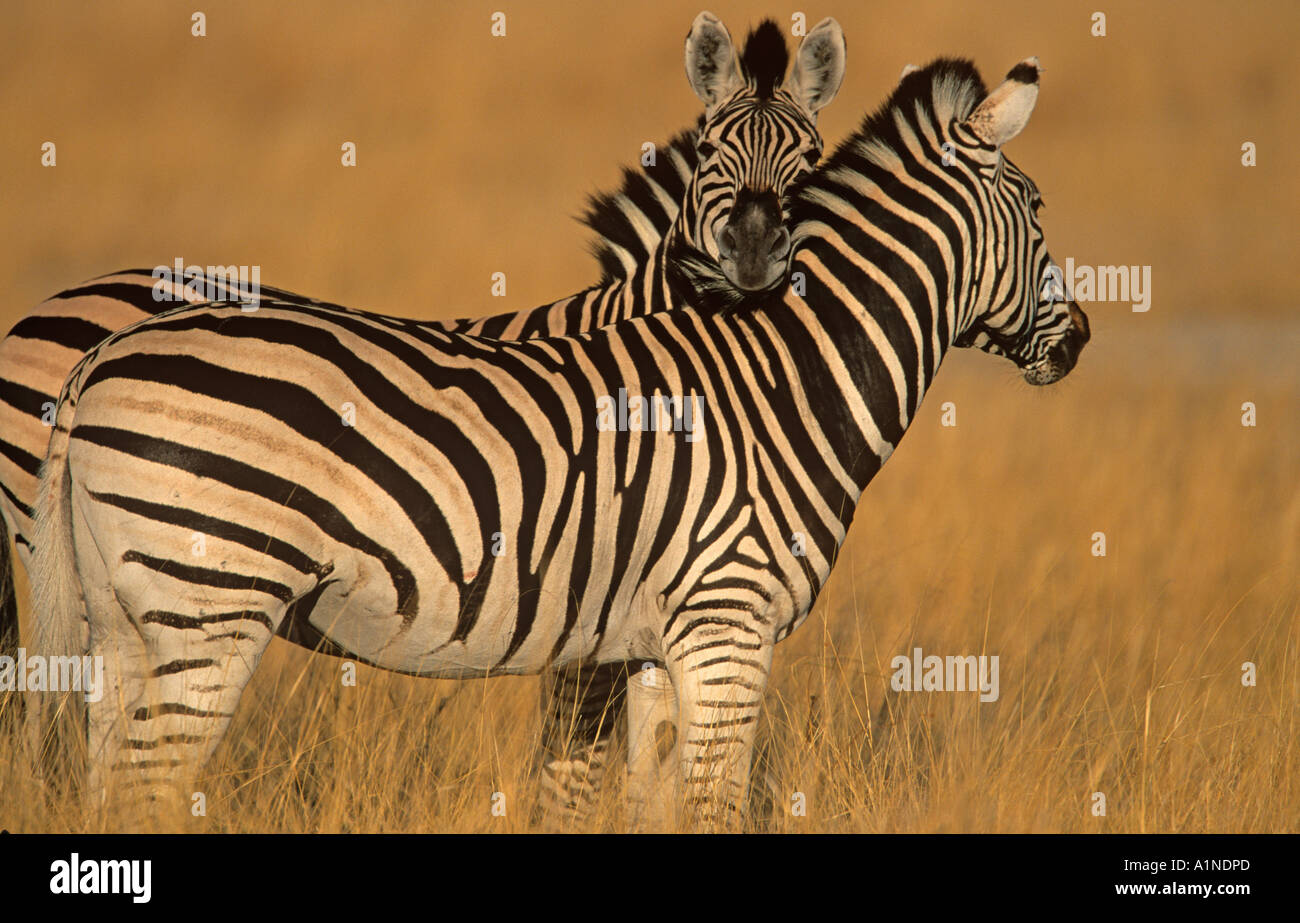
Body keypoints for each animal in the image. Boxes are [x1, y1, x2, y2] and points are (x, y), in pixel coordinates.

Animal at [31, 55, 1089, 826]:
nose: (1079, 337)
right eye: (1039, 208)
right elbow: (708, 806)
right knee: (145, 789)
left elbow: (649, 805)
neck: (782, 374)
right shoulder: (729, 623)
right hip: (212, 601)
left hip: (121, 619)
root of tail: (102, 356)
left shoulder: (657, 644)